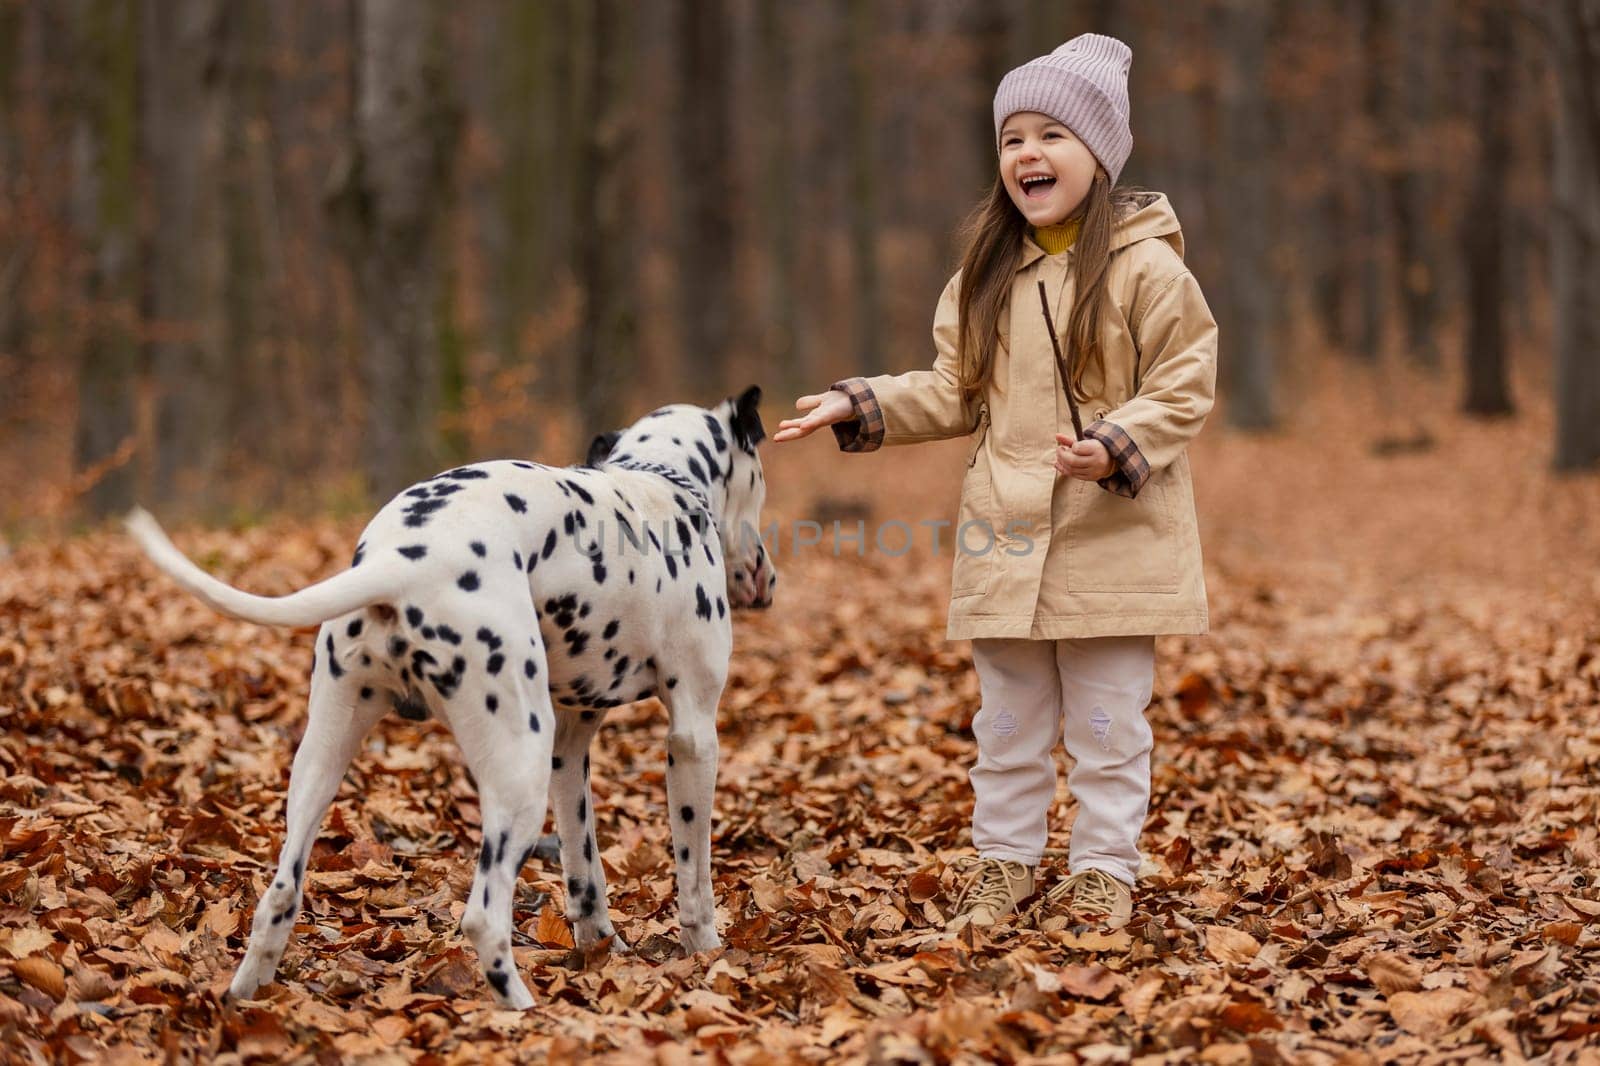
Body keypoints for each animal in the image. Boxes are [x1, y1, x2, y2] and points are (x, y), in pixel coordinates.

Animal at [124, 384, 774, 1005]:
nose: (768, 577)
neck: (658, 481)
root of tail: (401, 562)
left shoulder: (569, 751)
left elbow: (584, 874)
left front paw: (601, 954)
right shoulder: (691, 737)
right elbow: (695, 877)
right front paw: (707, 956)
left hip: (322, 763)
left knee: (278, 898)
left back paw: (244, 997)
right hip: (516, 778)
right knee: (484, 917)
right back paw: (525, 1013)